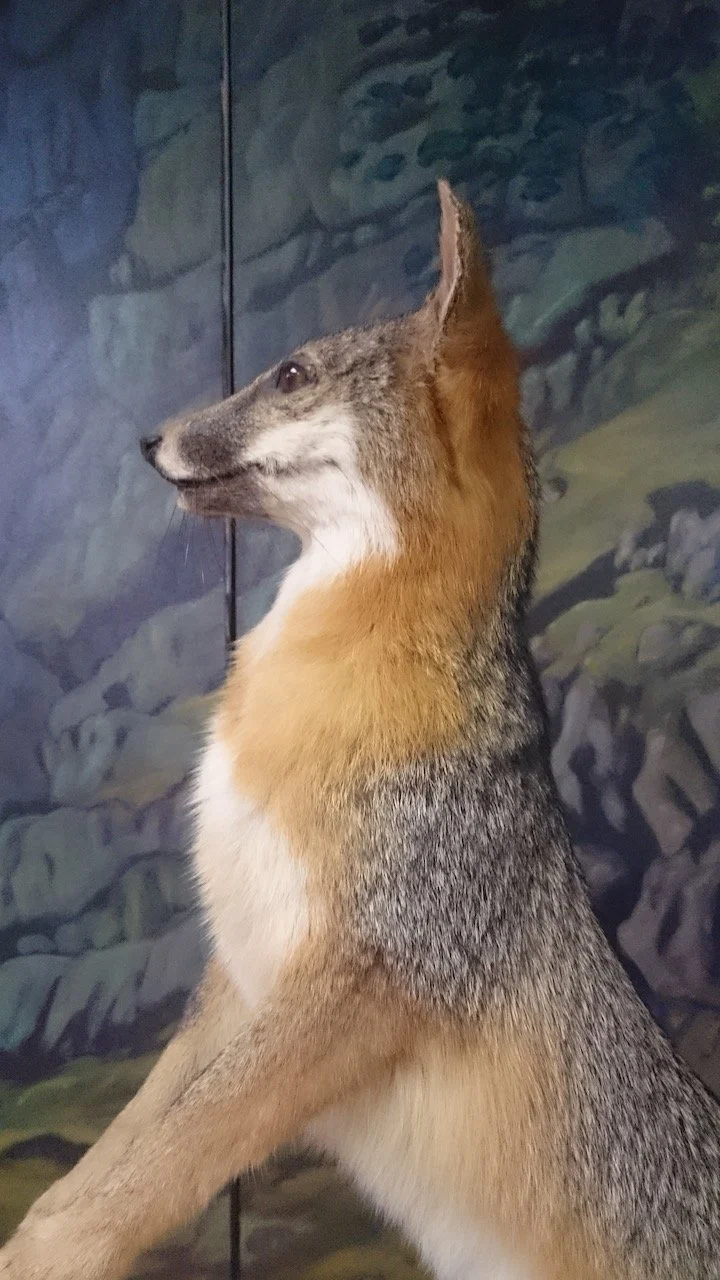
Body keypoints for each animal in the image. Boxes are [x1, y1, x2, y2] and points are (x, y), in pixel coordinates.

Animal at [1, 180, 719, 1280]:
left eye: (292, 374)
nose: (148, 439)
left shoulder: (365, 979)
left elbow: (155, 1172)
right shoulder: (242, 970)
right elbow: (116, 1155)